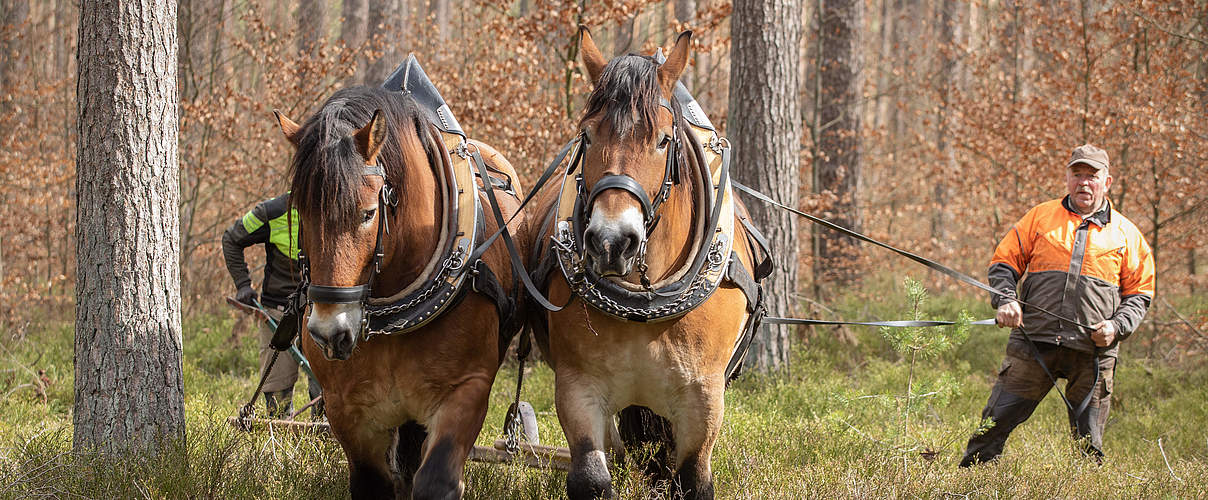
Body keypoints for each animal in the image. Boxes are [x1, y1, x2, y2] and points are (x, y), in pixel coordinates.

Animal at [279, 83, 533, 497]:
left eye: (368, 213)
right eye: (301, 211)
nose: (330, 332)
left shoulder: (467, 390)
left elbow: (435, 480)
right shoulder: (345, 408)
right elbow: (374, 484)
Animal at [529, 29, 763, 500]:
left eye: (662, 139)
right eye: (586, 135)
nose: (610, 242)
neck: (646, 303)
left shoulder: (702, 397)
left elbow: (692, 481)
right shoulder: (578, 385)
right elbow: (591, 479)